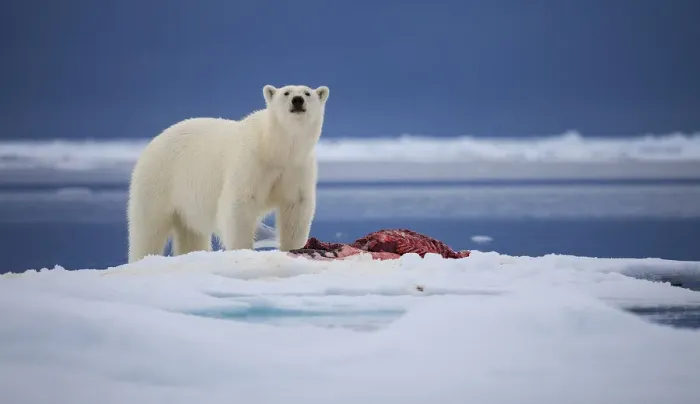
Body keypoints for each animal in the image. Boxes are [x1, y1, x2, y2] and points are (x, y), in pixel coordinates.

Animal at [126, 84, 330, 263]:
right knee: (148, 229)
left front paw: (294, 248)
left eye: (307, 93)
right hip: (159, 180)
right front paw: (242, 250)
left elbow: (296, 208)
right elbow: (239, 206)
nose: (298, 100)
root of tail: (153, 142)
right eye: (286, 92)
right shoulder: (250, 162)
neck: (274, 148)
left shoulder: (297, 167)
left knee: (191, 233)